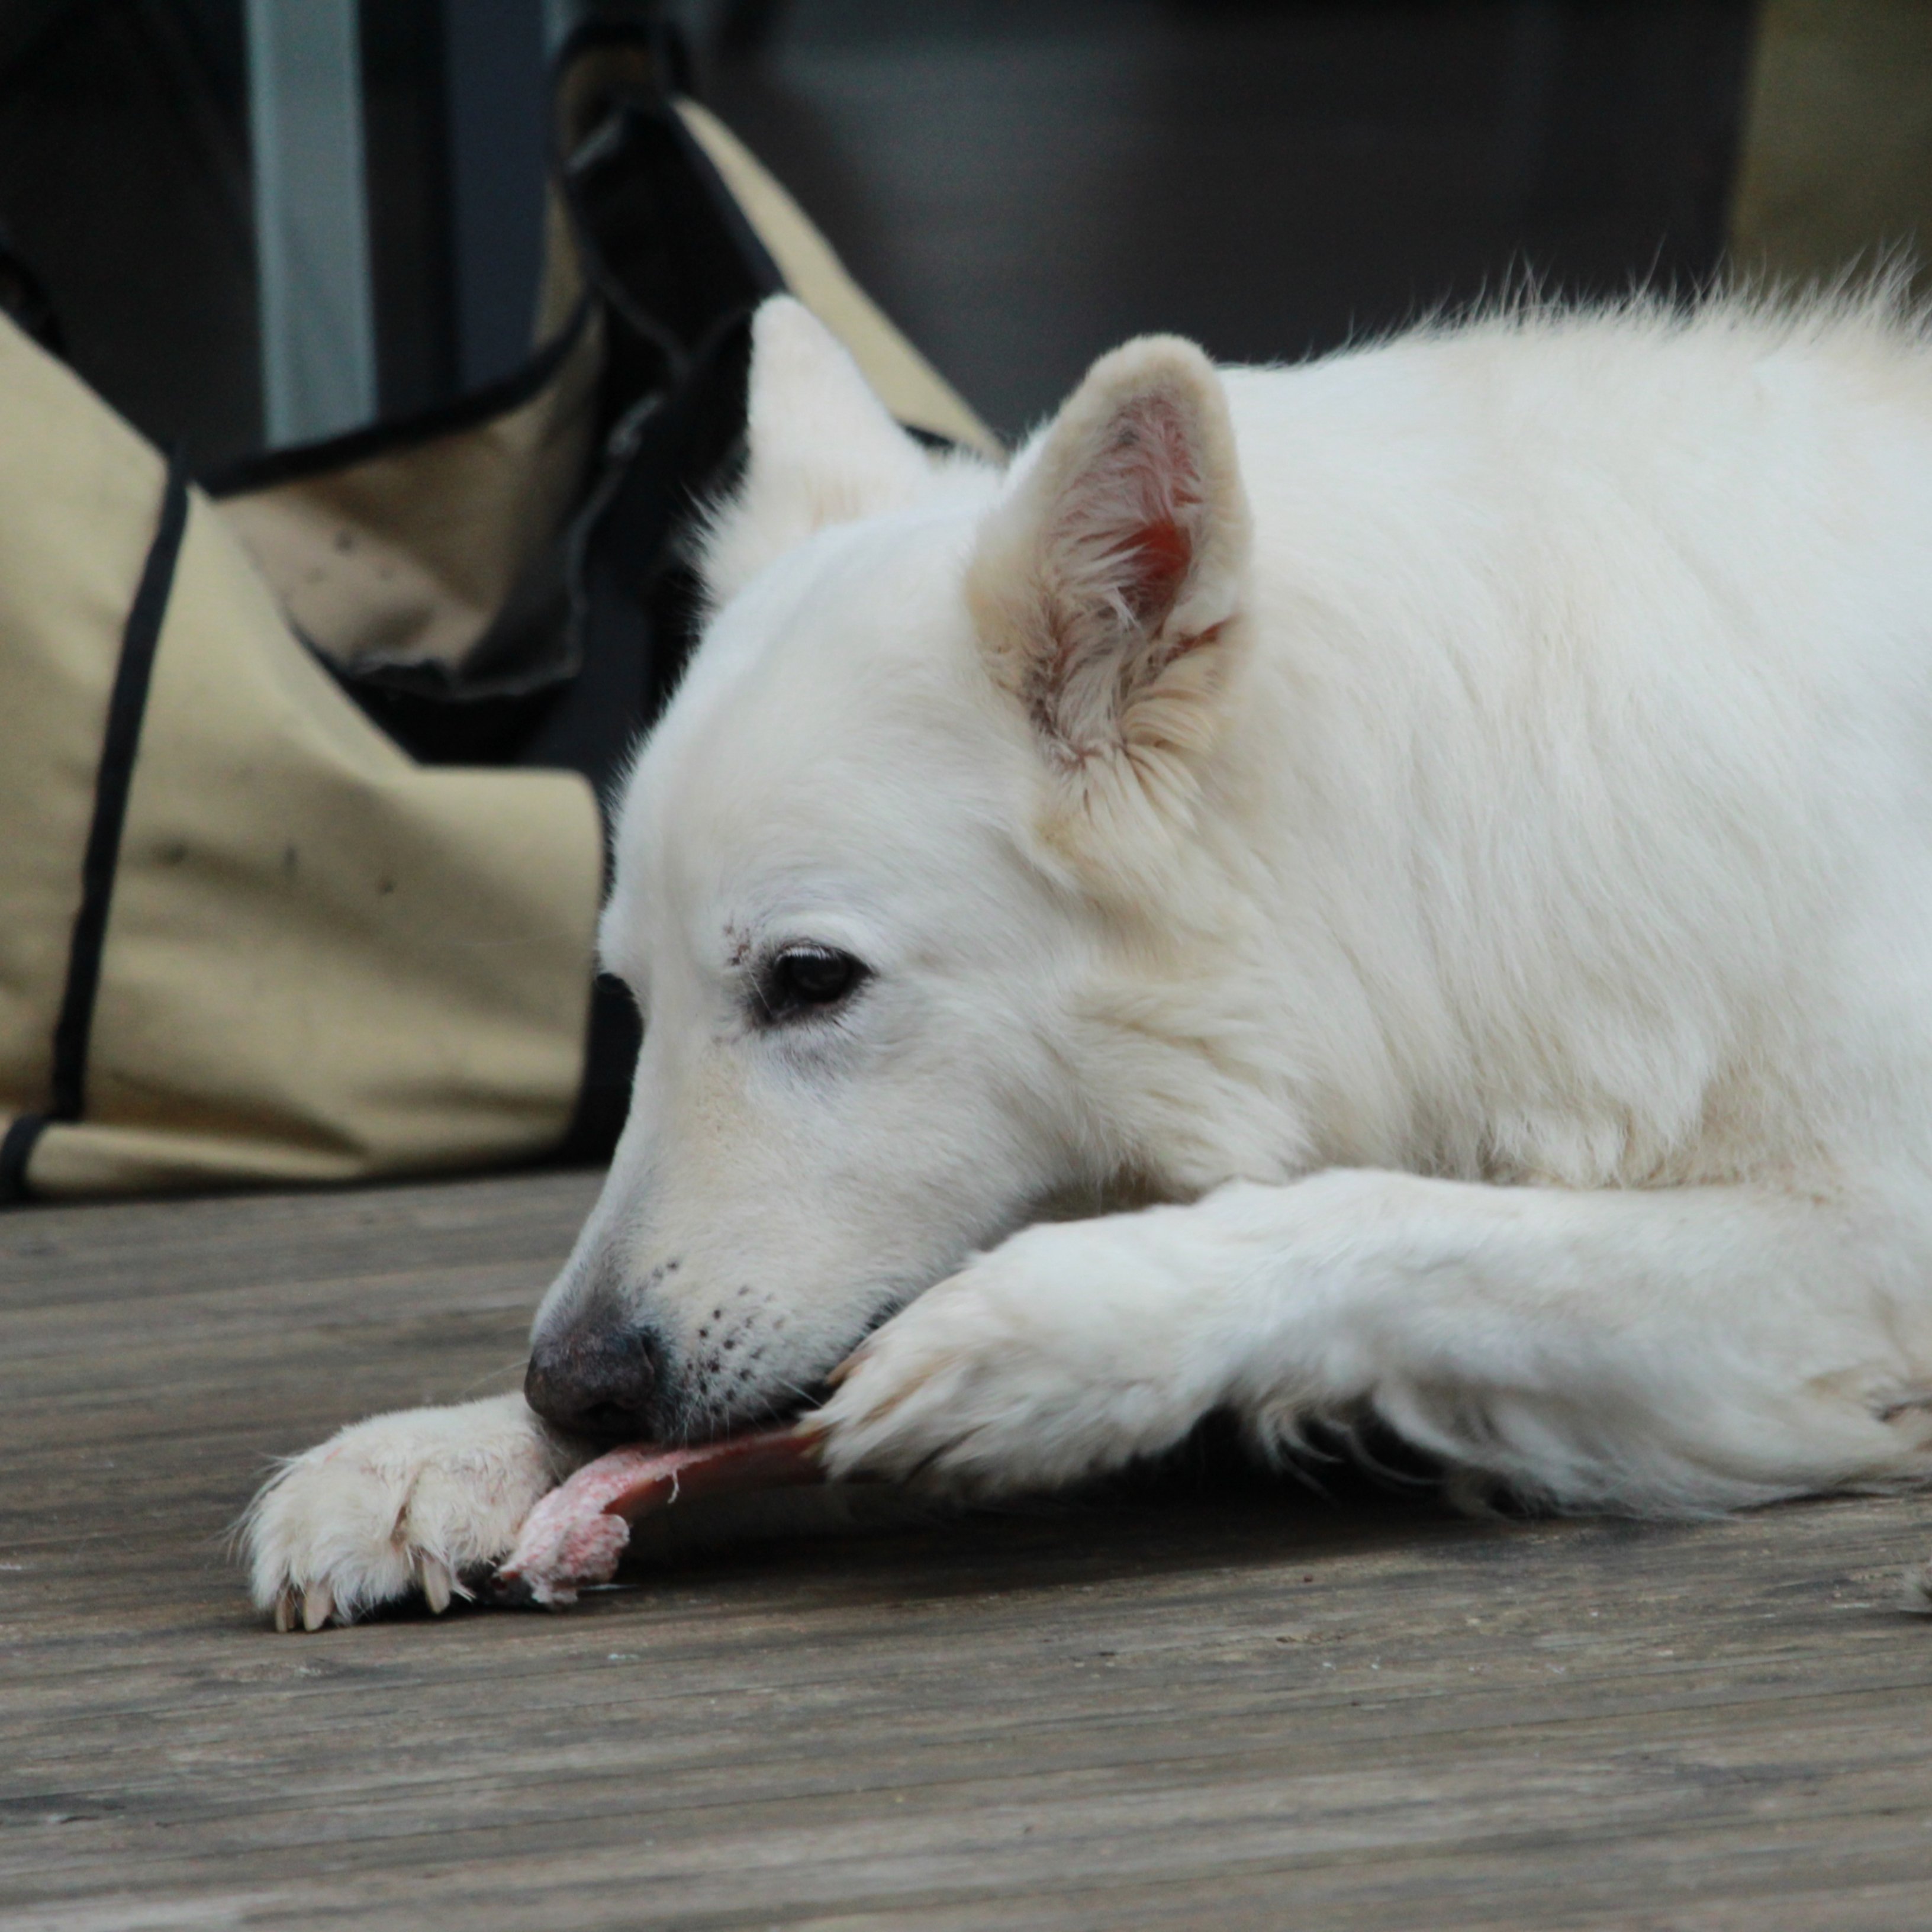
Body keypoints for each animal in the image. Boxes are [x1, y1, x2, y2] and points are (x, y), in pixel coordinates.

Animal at [245, 282, 1932, 1615]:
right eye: (633, 1003)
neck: (1463, 820)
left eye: (808, 980)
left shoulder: (1864, 1240)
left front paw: (1052, 1335)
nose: (573, 1387)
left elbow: (1412, 1220)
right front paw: (446, 1451)